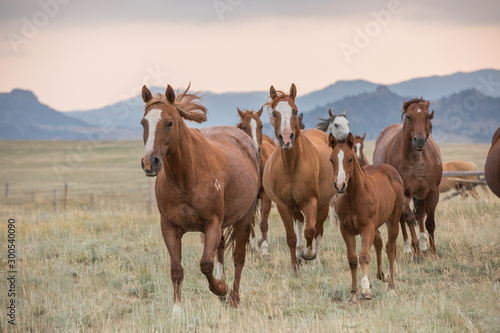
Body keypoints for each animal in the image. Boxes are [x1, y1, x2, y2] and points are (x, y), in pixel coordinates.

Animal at [140, 83, 260, 314]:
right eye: (143, 122)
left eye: (169, 122)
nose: (150, 162)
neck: (185, 177)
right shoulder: (169, 228)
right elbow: (176, 268)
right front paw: (177, 309)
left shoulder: (212, 224)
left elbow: (205, 264)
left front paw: (220, 289)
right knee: (221, 248)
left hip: (243, 219)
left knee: (238, 258)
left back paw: (233, 298)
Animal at [236, 106, 276, 254]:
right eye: (243, 127)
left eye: (261, 125)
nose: (254, 148)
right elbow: (251, 222)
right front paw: (253, 245)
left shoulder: (266, 197)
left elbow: (263, 223)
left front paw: (264, 248)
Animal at [262, 82, 336, 270]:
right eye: (274, 113)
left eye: (295, 111)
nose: (286, 138)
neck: (292, 167)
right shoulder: (283, 205)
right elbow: (291, 236)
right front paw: (295, 266)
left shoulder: (311, 202)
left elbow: (311, 231)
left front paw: (308, 254)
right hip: (295, 206)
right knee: (300, 223)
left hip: (323, 204)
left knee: (318, 231)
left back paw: (316, 262)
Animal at [330, 132, 404, 300]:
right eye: (331, 159)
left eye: (350, 159)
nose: (340, 185)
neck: (353, 196)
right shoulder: (345, 229)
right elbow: (352, 259)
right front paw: (353, 293)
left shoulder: (367, 227)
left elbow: (363, 256)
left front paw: (366, 290)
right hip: (376, 224)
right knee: (379, 242)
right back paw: (382, 276)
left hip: (393, 219)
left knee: (390, 248)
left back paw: (391, 286)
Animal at [372, 97, 442, 255]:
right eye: (409, 117)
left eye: (427, 116)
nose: (420, 140)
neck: (417, 161)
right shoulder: (404, 194)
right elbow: (409, 218)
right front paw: (416, 250)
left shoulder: (432, 192)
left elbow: (429, 222)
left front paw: (433, 251)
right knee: (402, 219)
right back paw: (408, 249)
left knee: (420, 215)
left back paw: (423, 245)